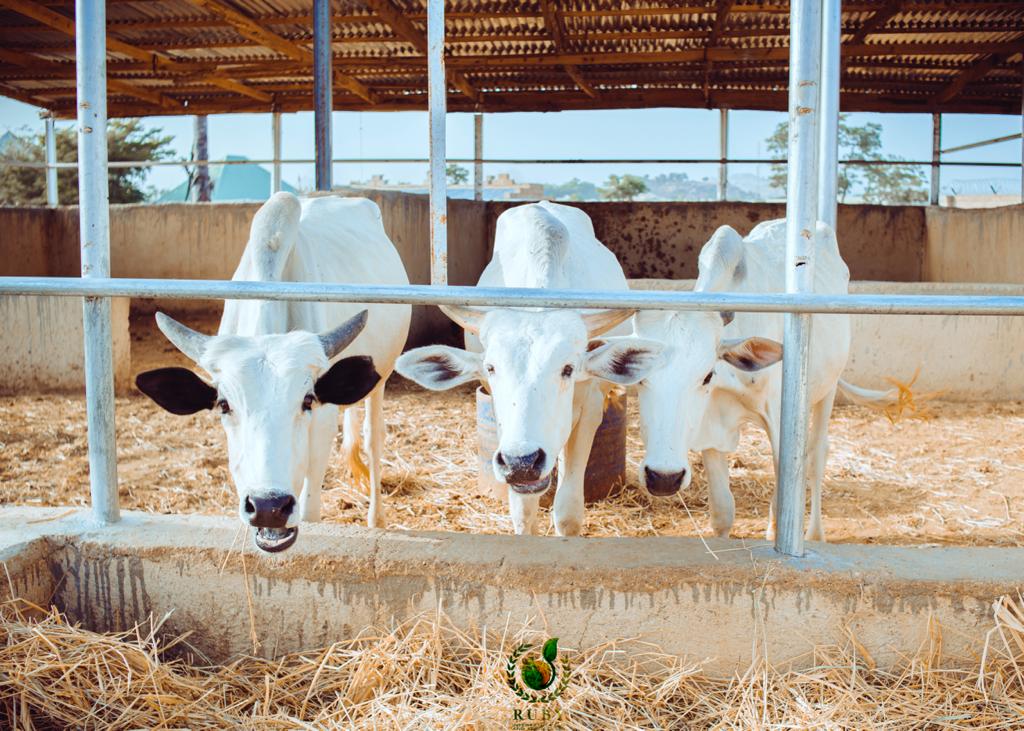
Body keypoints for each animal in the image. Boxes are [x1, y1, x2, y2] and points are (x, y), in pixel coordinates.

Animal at [135, 192, 411, 552]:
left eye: (307, 400)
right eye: (224, 405)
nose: (269, 507)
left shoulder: (322, 423)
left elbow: (310, 510)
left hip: (382, 376)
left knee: (373, 438)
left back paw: (376, 518)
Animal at [395, 201, 663, 536]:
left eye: (567, 368)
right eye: (491, 367)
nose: (522, 463)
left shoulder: (589, 409)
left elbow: (568, 512)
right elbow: (523, 513)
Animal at [633, 218, 858, 542]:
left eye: (707, 375)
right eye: (639, 377)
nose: (664, 478)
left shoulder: (780, 424)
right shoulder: (710, 428)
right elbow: (723, 512)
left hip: (828, 388)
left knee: (817, 455)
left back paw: (815, 533)